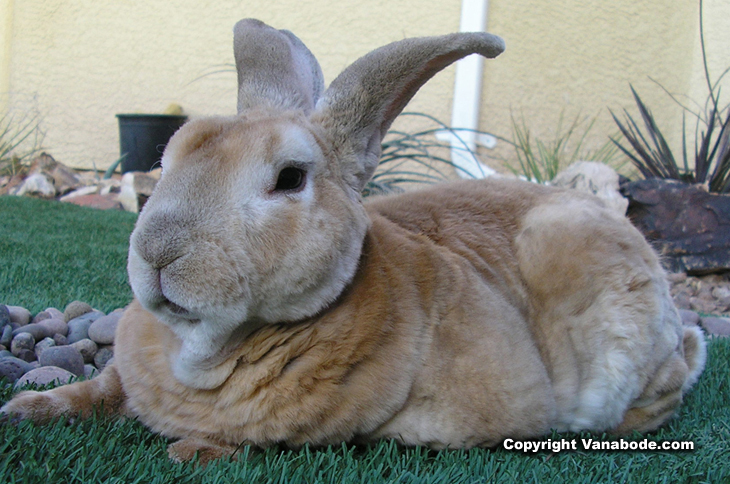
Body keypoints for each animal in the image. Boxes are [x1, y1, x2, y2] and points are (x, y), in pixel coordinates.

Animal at [1, 18, 704, 466]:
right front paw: (25, 410)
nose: (157, 256)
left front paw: (191, 450)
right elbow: (96, 391)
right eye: (168, 157)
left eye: (290, 178)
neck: (201, 351)